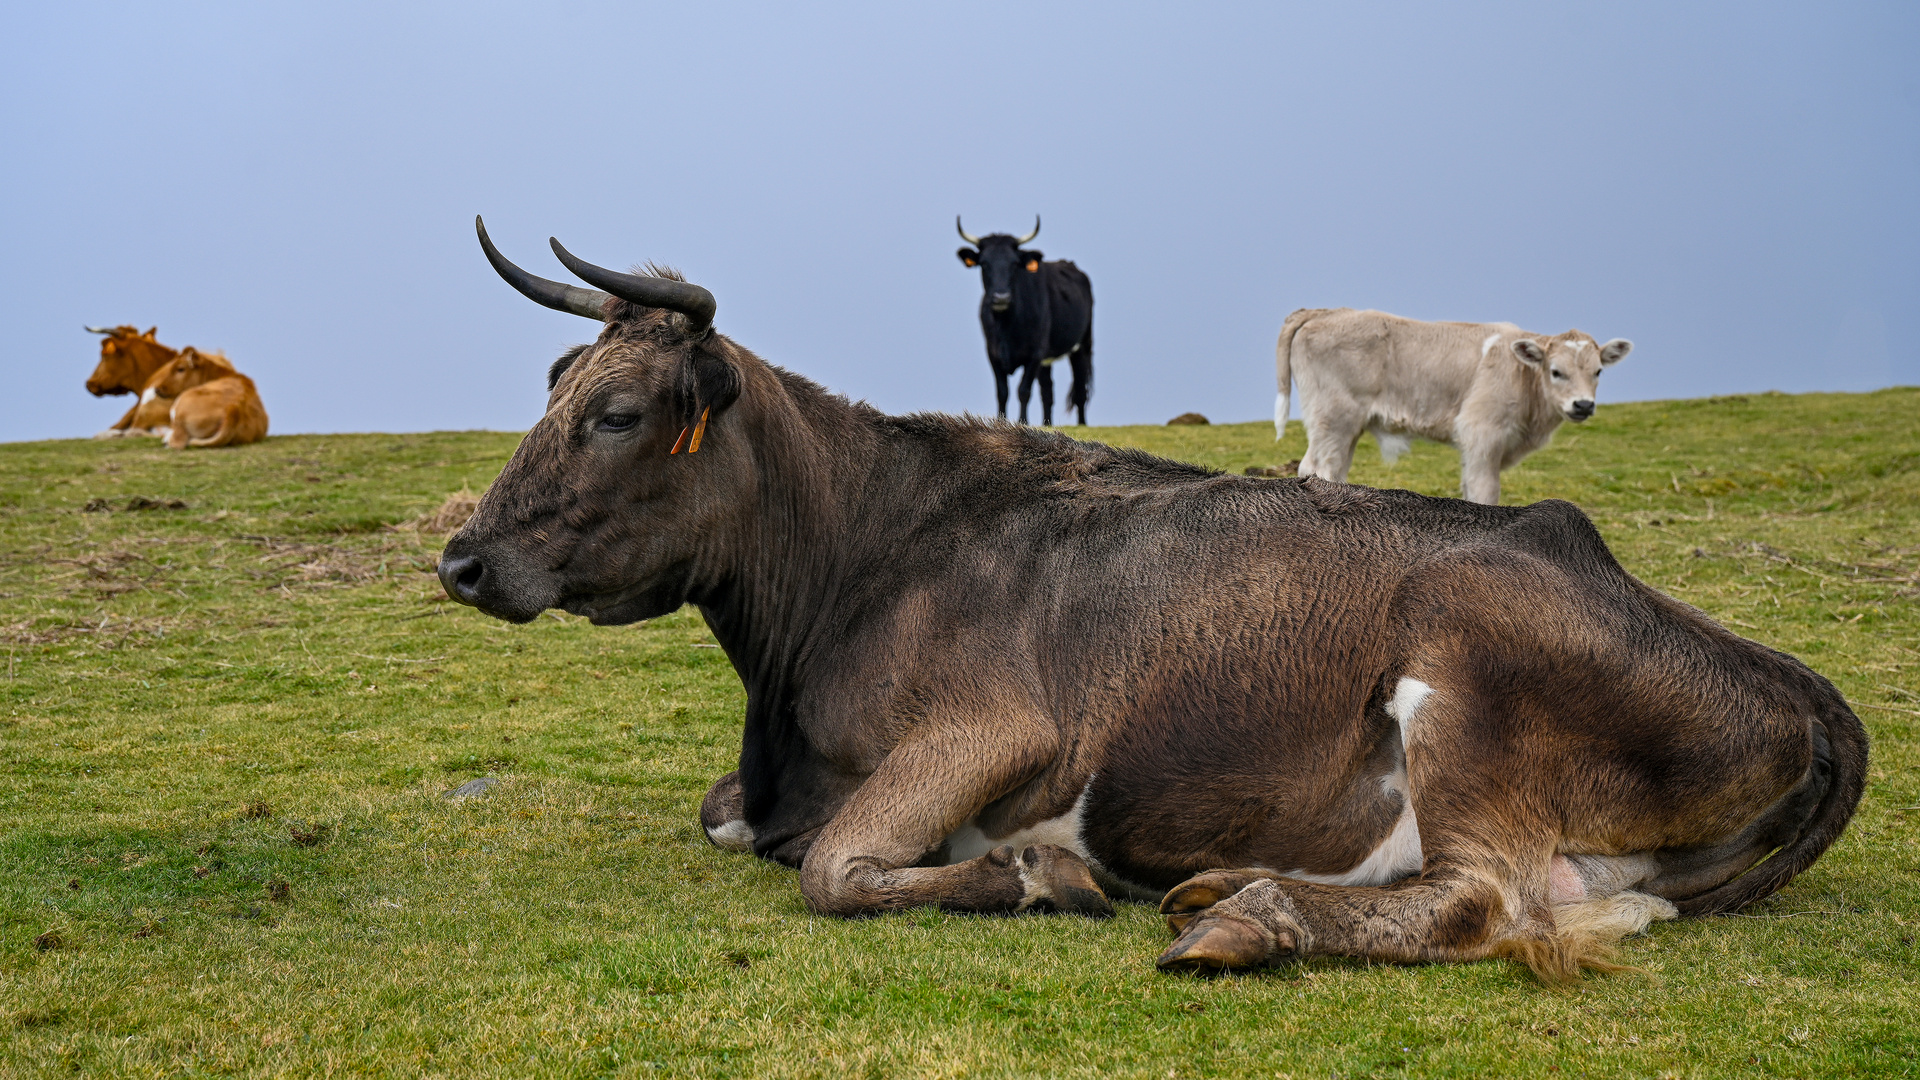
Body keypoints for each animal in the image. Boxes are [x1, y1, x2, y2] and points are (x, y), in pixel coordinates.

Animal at [952, 213, 1090, 420]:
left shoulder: (1034, 354)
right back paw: (1047, 423)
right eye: (984, 264)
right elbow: (1002, 392)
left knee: (1080, 390)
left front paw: (1022, 422)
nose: (1001, 297)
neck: (1006, 326)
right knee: (1047, 391)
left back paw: (1081, 423)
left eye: (1015, 263)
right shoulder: (993, 354)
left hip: (1082, 345)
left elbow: (1023, 390)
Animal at [1274, 305, 1635, 503]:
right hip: (1333, 418)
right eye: (1556, 371)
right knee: (1319, 469)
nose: (1583, 405)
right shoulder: (1483, 432)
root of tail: (1330, 311)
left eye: (1598, 371)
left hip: (1344, 427)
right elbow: (1484, 492)